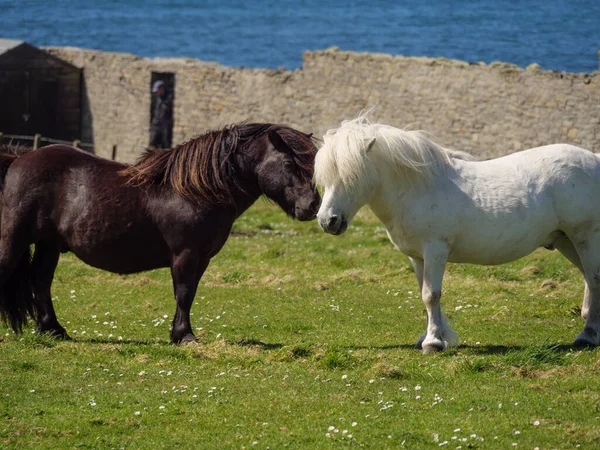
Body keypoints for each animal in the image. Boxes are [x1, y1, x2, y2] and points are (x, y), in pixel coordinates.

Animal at [0, 122, 318, 342]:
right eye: (288, 163)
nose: (312, 206)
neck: (194, 191)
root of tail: (17, 160)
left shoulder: (202, 258)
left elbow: (189, 294)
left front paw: (179, 334)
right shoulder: (185, 255)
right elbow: (184, 293)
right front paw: (185, 336)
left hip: (48, 244)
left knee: (41, 281)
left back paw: (54, 330)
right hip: (14, 239)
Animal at [314, 114, 600, 354]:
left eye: (352, 176)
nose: (328, 221)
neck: (418, 188)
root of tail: (594, 159)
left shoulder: (435, 250)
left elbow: (431, 294)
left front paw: (432, 342)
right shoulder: (417, 257)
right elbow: (424, 294)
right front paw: (432, 336)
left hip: (585, 237)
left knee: (594, 279)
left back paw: (587, 336)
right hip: (567, 241)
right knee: (589, 278)